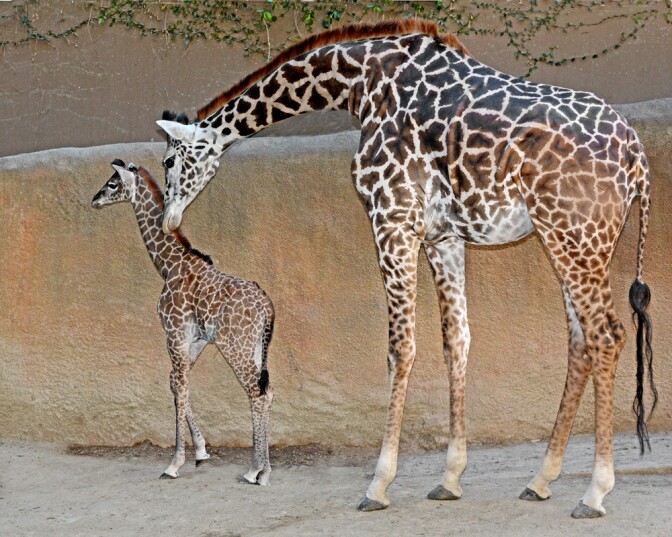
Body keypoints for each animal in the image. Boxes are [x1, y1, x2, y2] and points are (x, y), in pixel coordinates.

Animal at [91, 160, 274, 485]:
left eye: (113, 184)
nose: (94, 200)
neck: (168, 265)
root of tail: (267, 308)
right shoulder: (196, 339)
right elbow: (176, 383)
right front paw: (200, 451)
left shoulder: (173, 332)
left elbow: (181, 386)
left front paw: (174, 463)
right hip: (255, 347)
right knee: (268, 390)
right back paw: (263, 468)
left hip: (235, 346)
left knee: (256, 393)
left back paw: (256, 470)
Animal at [154, 20, 657, 517]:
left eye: (169, 159)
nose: (170, 220)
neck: (359, 84)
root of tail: (637, 157)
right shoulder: (442, 237)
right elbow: (457, 340)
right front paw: (450, 479)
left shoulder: (391, 219)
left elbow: (400, 348)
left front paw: (378, 484)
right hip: (575, 241)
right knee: (580, 341)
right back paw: (541, 480)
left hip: (572, 235)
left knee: (606, 335)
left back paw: (594, 492)